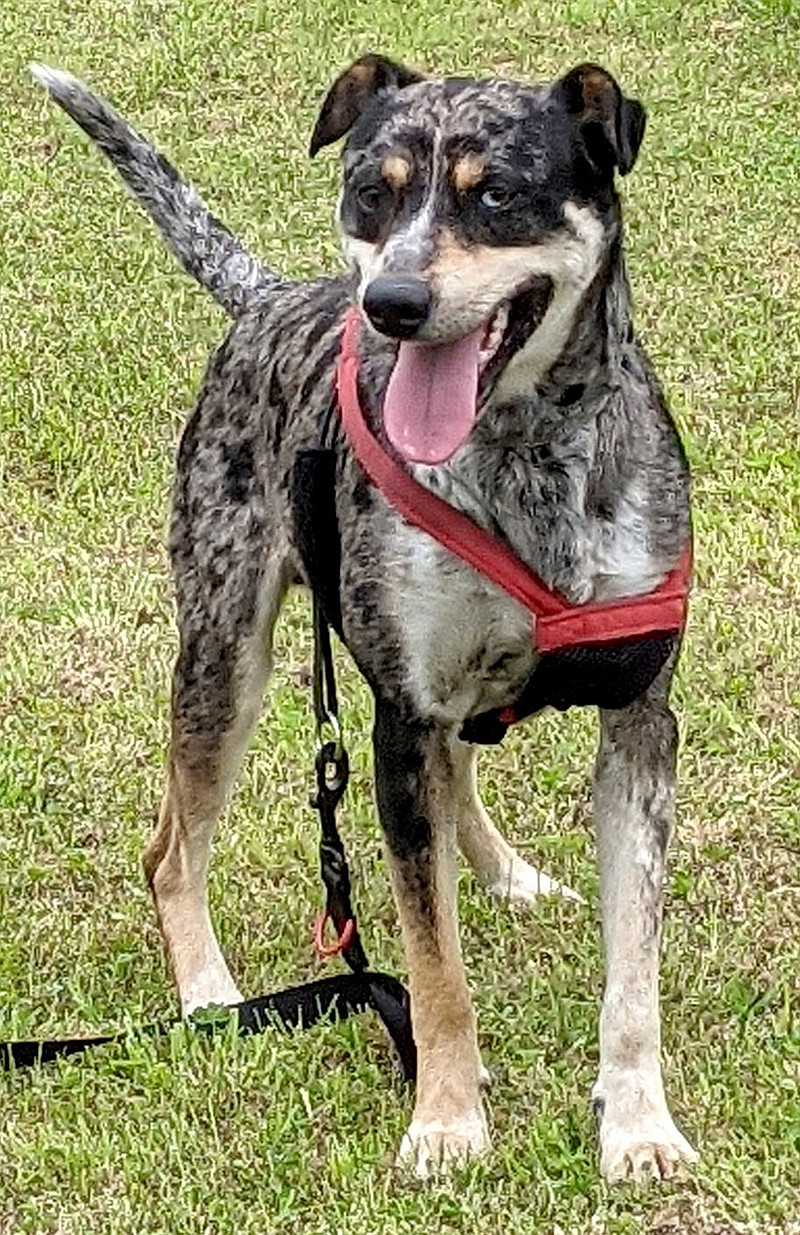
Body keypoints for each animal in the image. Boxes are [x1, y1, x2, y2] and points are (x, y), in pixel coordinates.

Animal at [32, 53, 691, 1180]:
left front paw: (639, 1125)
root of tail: (270, 297)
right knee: (172, 849)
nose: (390, 302)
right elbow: (433, 969)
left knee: (461, 771)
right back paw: (207, 991)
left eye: (495, 195)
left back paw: (508, 873)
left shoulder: (636, 717)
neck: (525, 454)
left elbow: (634, 969)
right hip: (225, 656)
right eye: (369, 192)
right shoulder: (399, 720)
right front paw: (447, 1121)